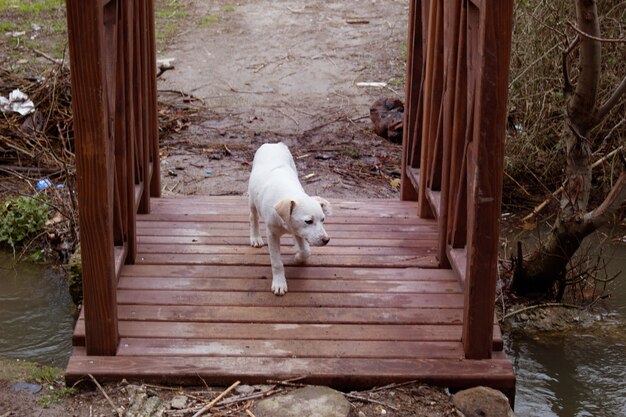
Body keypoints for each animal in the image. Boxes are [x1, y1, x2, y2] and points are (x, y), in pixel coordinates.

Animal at [247, 143, 332, 296]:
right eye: (308, 221)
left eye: (323, 220)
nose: (326, 240)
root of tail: (273, 143)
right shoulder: (272, 234)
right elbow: (277, 262)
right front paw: (279, 284)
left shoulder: (299, 231)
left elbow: (306, 251)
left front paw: (298, 257)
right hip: (252, 200)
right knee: (253, 217)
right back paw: (255, 238)